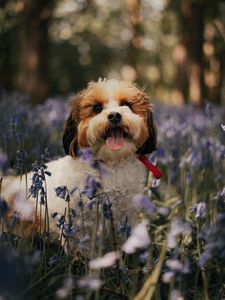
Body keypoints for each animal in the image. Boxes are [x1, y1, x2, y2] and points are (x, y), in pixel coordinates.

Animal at [1, 79, 156, 251]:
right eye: (97, 108)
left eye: (127, 104)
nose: (114, 115)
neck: (110, 163)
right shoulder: (79, 220)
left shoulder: (125, 213)